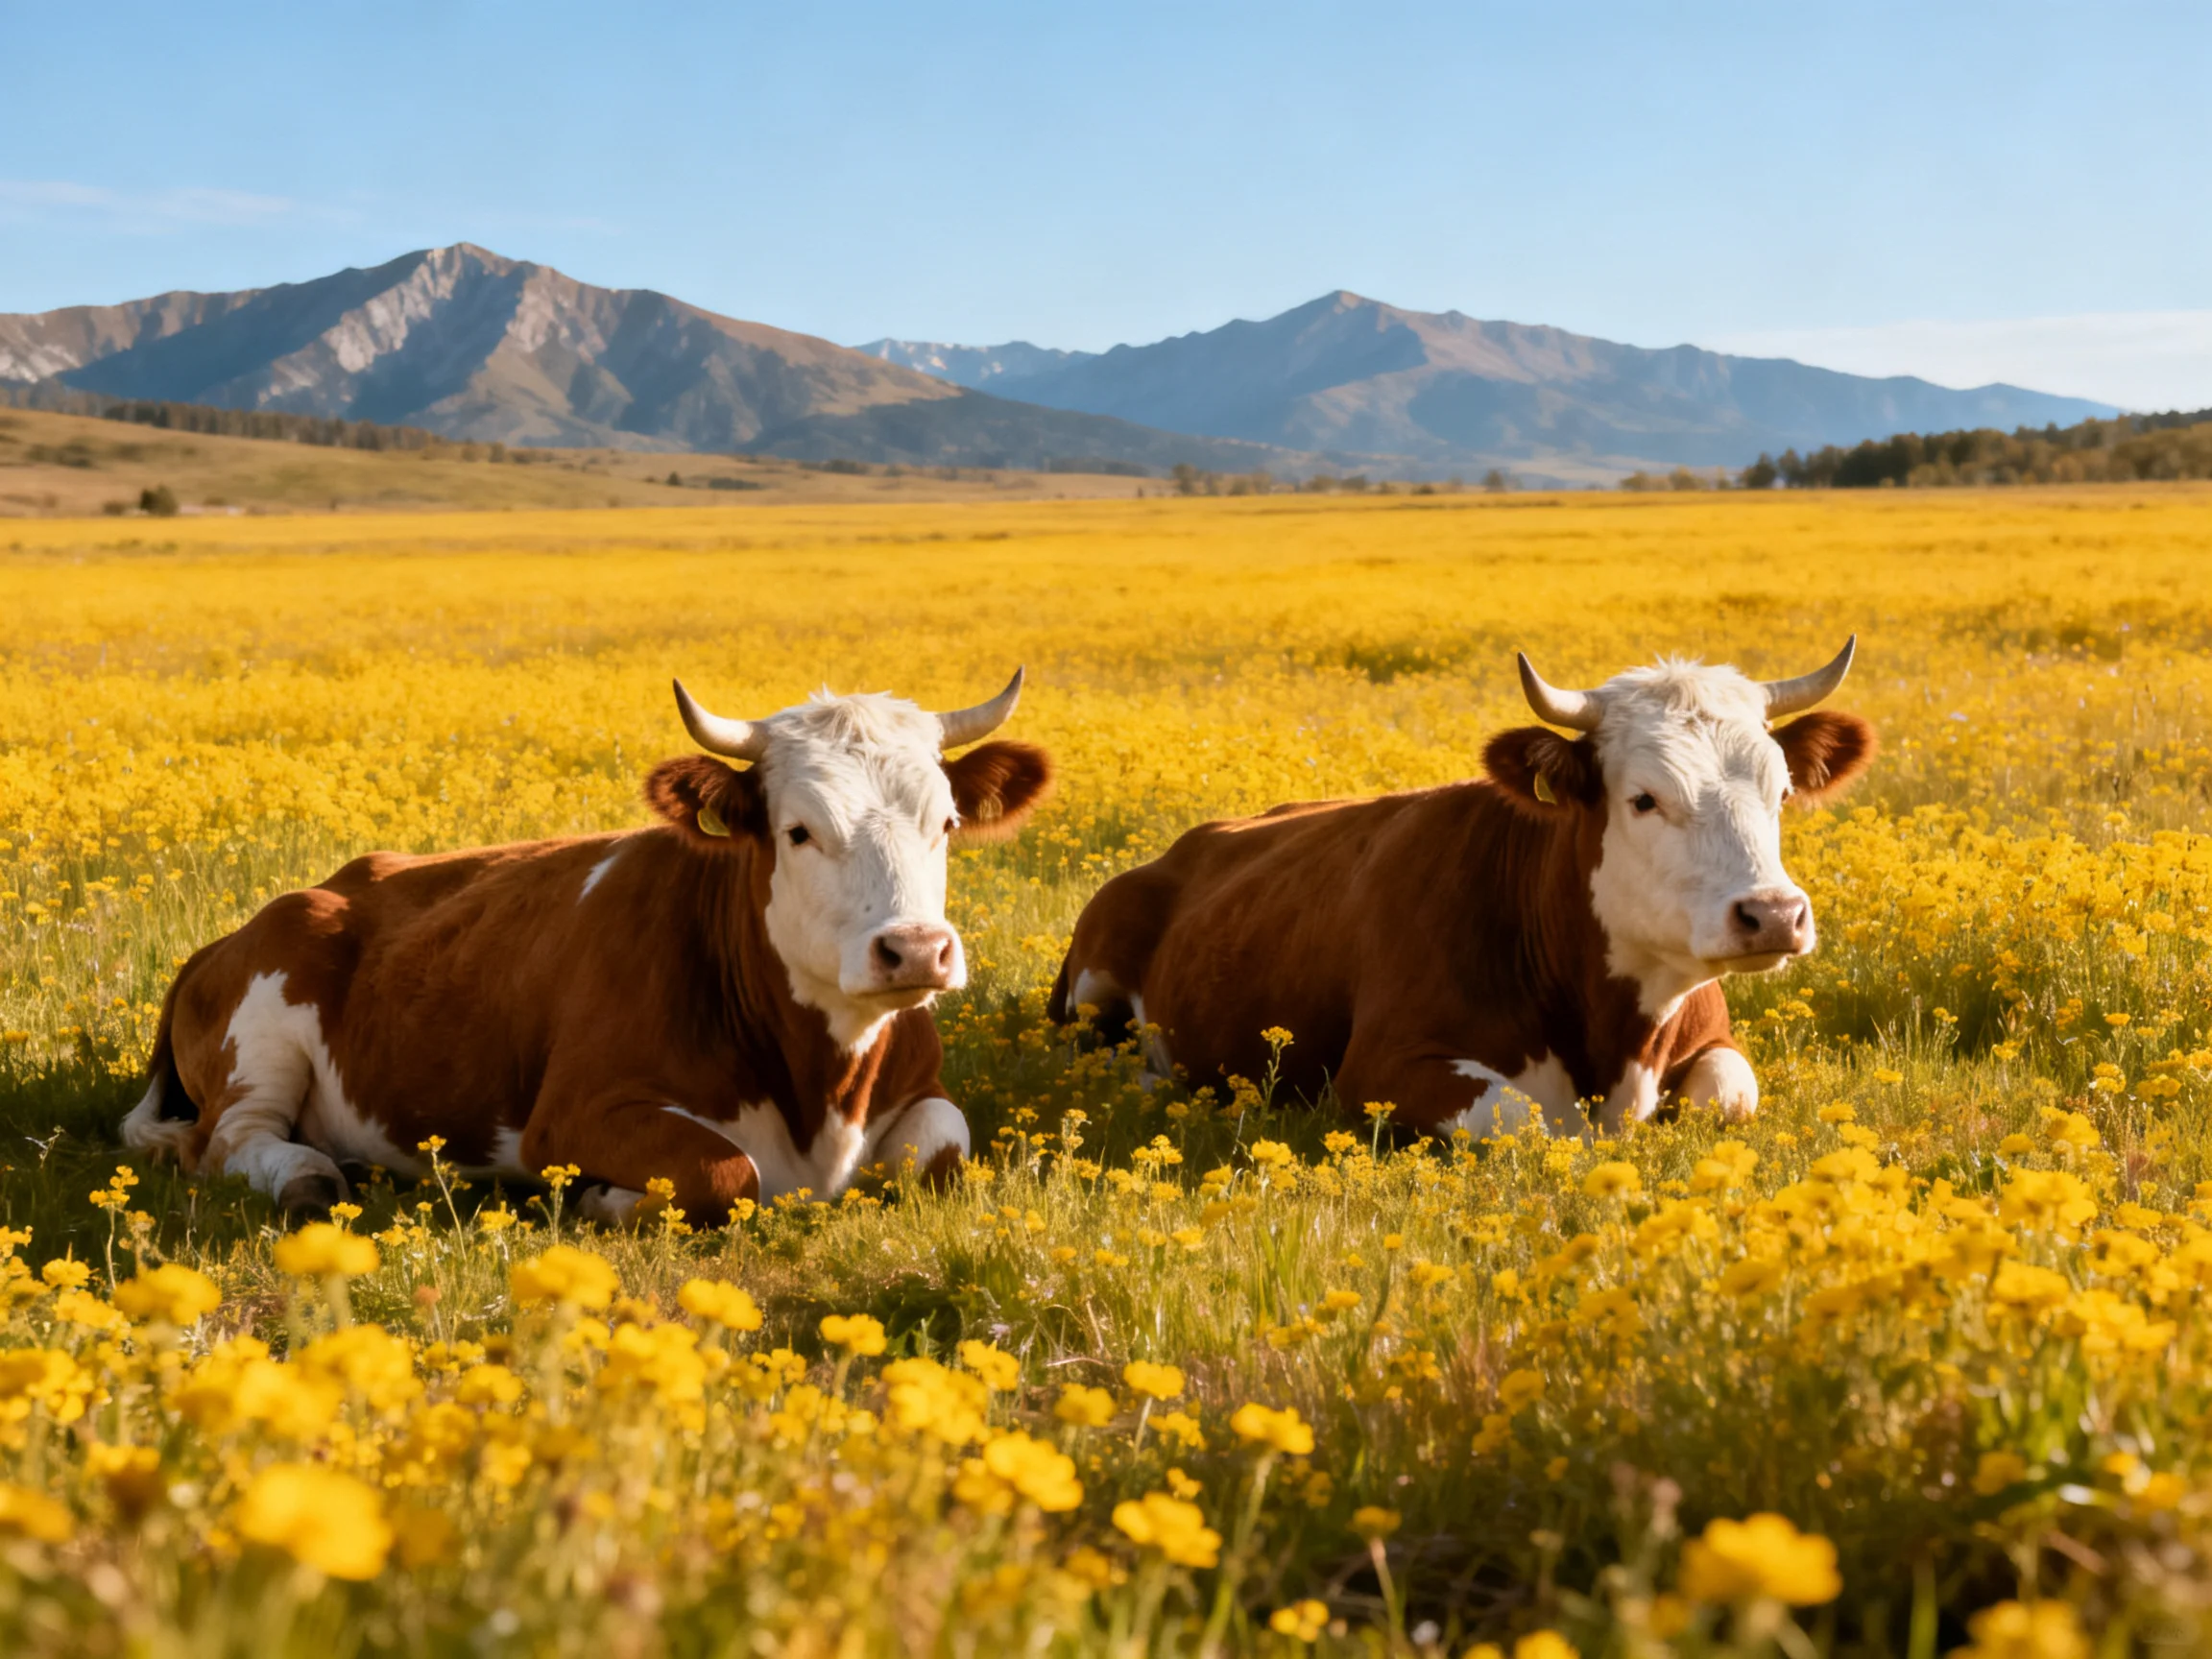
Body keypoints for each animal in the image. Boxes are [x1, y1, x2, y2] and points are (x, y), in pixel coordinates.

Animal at [121, 671, 1053, 1221]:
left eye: (946, 823)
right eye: (798, 831)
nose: (917, 951)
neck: (820, 1087)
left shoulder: (921, 1091)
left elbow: (940, 1153)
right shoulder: (570, 1114)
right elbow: (727, 1172)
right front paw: (608, 1199)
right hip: (265, 1026)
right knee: (226, 1142)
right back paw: (308, 1174)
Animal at [1050, 643, 1874, 1139]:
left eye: (1782, 790)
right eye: (1644, 798)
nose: (1773, 915)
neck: (1608, 1031)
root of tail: (1192, 843)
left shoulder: (1713, 1044)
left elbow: (1727, 1093)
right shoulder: (1377, 1070)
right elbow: (1519, 1116)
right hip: (1091, 987)